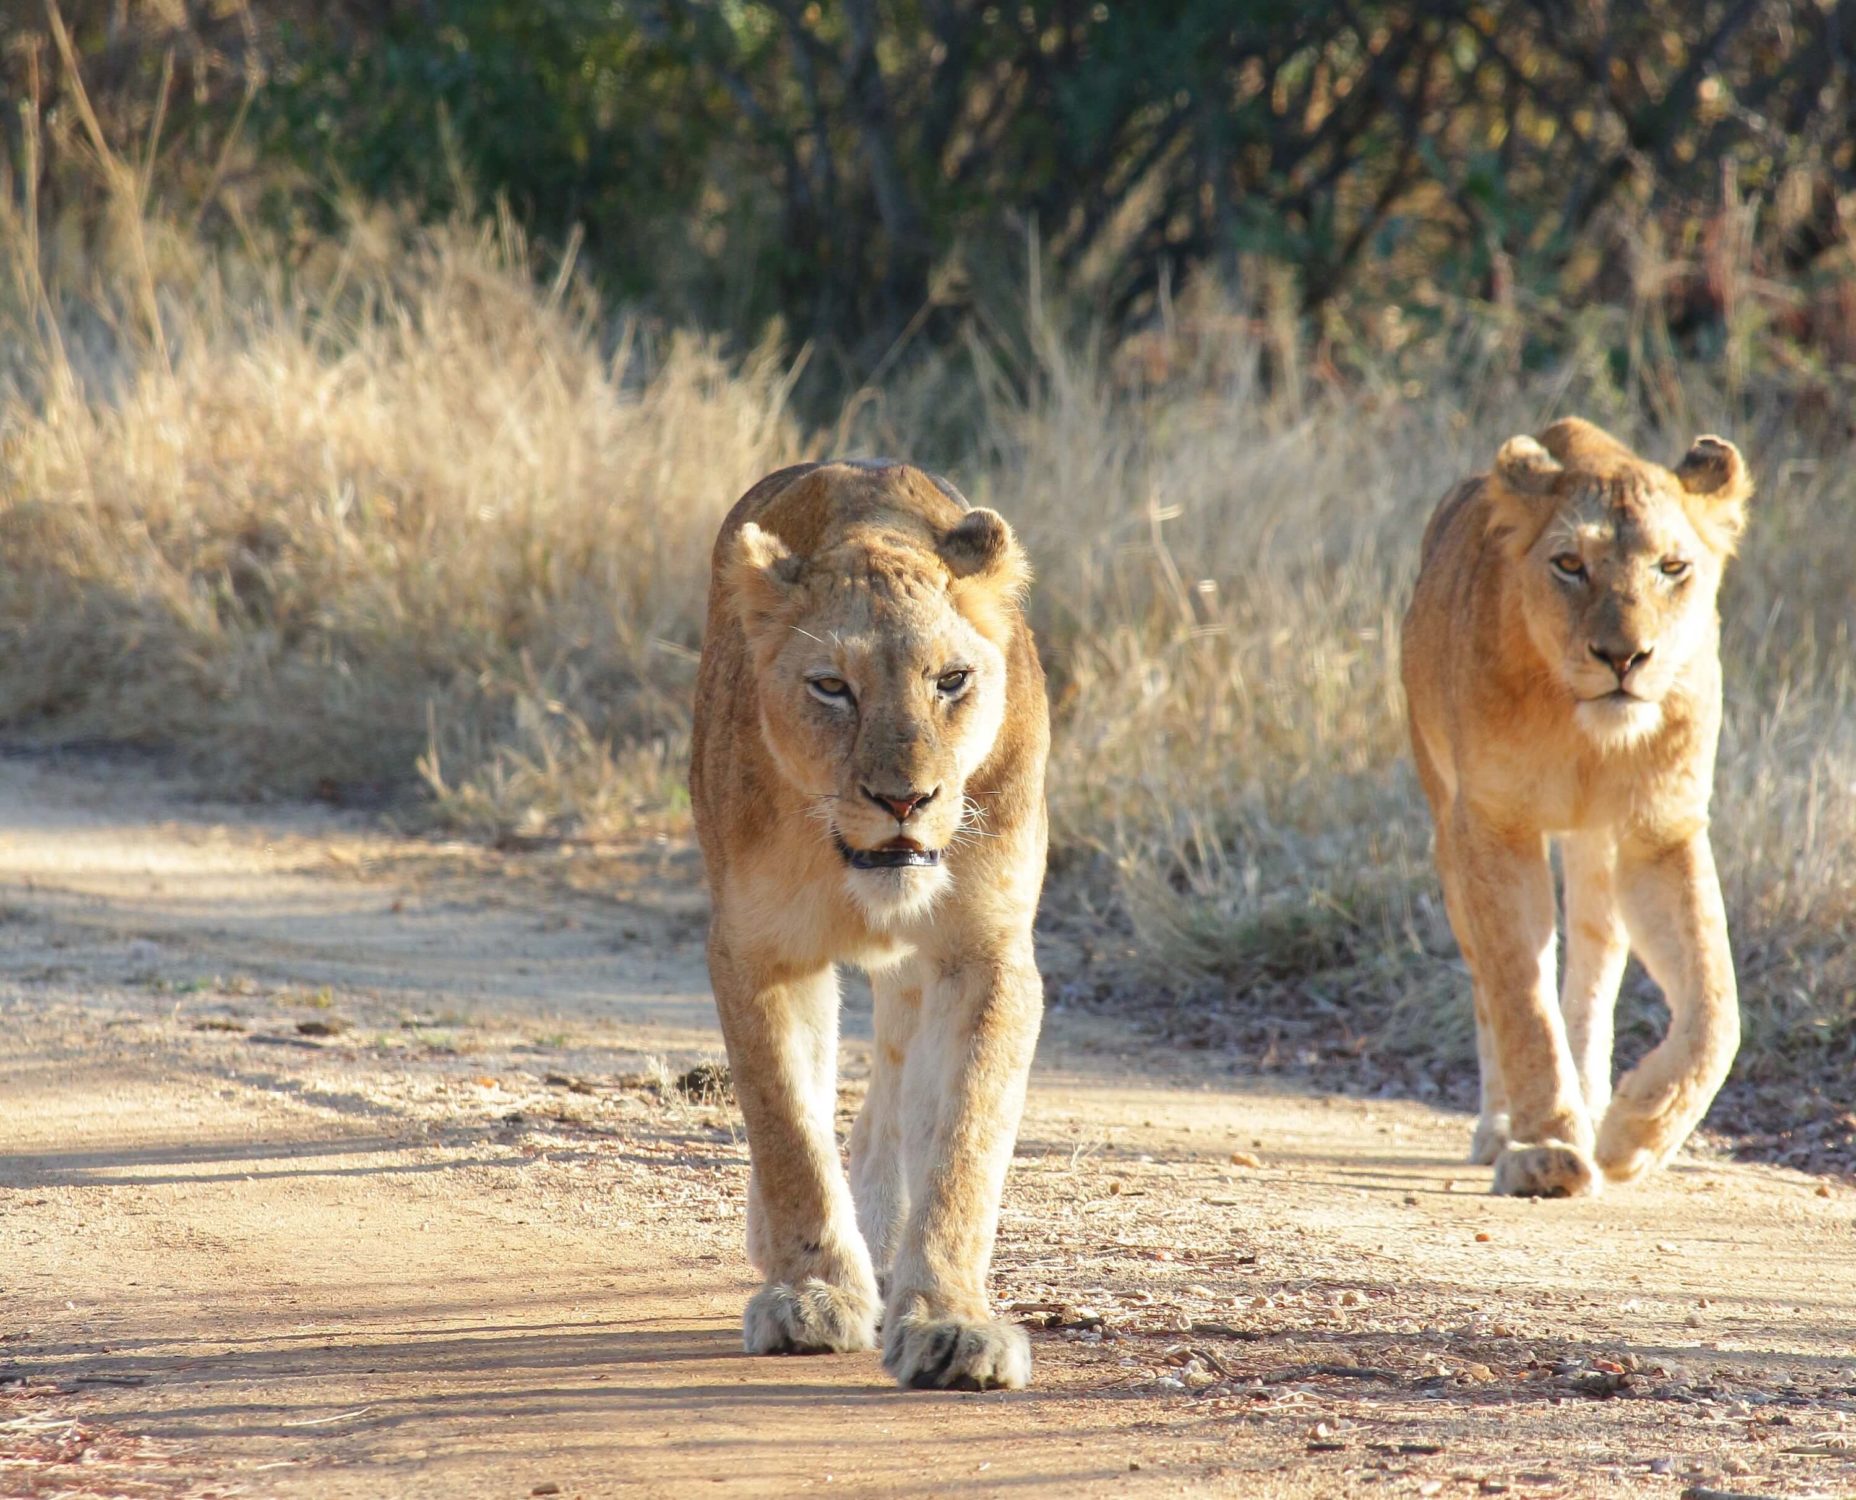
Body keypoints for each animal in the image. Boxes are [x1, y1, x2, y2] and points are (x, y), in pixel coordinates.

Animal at [689, 458, 1050, 1389]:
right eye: (831, 687)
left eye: (951, 680)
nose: (904, 800)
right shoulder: (758, 949)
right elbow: (786, 1125)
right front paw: (812, 1296)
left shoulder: (987, 953)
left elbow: (964, 1141)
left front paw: (951, 1322)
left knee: (895, 1086)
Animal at [1400, 417, 1752, 1198]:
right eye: (1569, 564)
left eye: (1672, 567)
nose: (1623, 657)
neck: (1584, 730)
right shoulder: (1492, 825)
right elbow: (1521, 999)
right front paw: (1544, 1150)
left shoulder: (1662, 830)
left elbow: (1715, 1009)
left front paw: (1635, 1134)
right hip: (1446, 825)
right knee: (1489, 984)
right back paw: (1506, 1127)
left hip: (1597, 848)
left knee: (1595, 965)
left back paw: (1596, 1109)